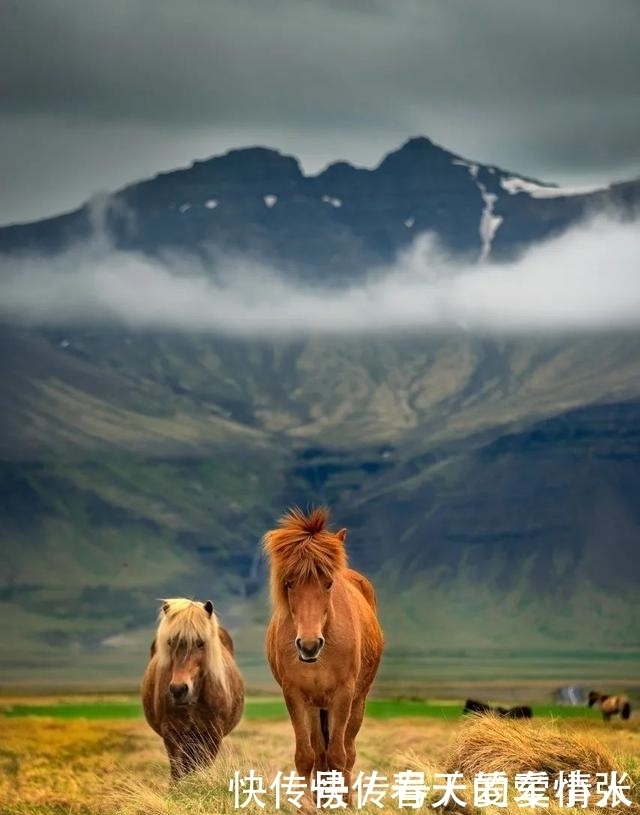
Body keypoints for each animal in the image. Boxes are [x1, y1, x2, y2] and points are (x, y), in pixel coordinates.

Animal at [141, 600, 245, 784]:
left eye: (201, 643)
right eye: (170, 642)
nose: (178, 689)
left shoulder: (212, 736)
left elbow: (203, 767)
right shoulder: (172, 734)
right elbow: (177, 773)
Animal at [262, 506, 382, 808]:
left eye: (328, 584)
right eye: (289, 583)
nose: (309, 645)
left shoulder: (343, 694)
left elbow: (339, 755)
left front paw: (343, 805)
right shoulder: (295, 695)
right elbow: (307, 756)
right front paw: (306, 805)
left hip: (357, 701)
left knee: (347, 750)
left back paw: (345, 798)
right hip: (316, 707)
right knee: (320, 752)